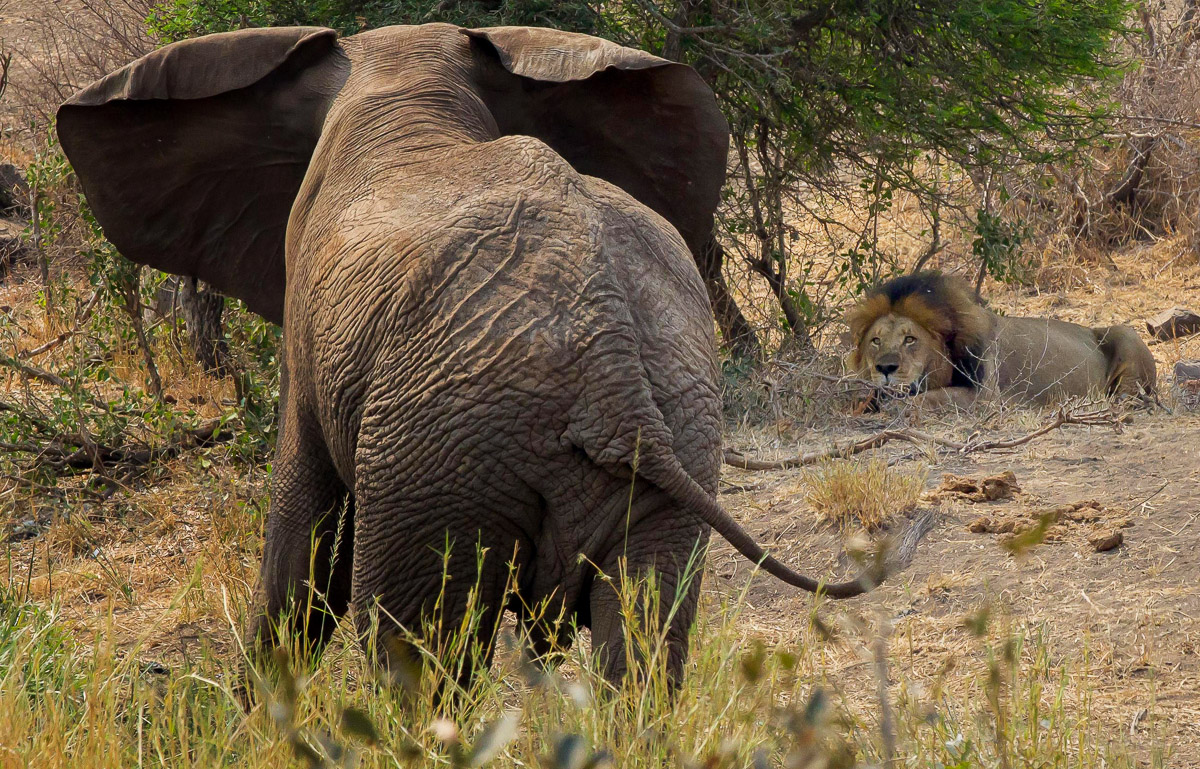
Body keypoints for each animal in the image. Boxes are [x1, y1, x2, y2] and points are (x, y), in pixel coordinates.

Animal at [56, 23, 882, 688]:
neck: (406, 80)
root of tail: (611, 356)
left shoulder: (305, 323)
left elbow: (300, 541)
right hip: (672, 422)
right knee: (644, 642)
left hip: (437, 456)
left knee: (417, 658)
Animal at [845, 272, 1157, 409]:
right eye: (876, 341)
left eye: (910, 339)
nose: (885, 368)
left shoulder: (986, 398)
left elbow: (929, 398)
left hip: (1125, 332)